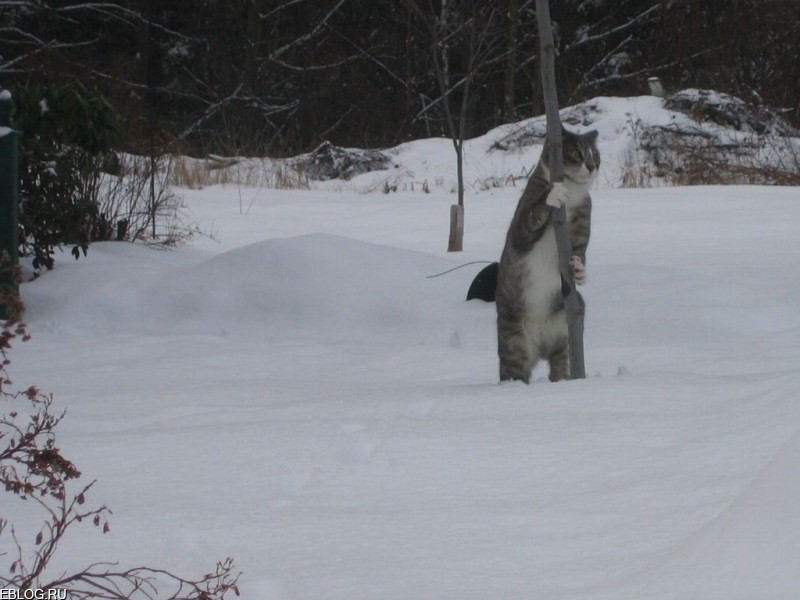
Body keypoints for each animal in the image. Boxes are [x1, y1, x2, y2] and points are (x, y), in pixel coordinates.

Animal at [494, 127, 600, 384]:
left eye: (595, 155)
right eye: (576, 153)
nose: (592, 166)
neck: (573, 194)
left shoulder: (584, 216)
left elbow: (580, 252)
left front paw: (579, 271)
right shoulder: (521, 227)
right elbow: (532, 216)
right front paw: (553, 194)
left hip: (567, 337)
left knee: (561, 367)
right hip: (514, 342)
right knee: (513, 372)